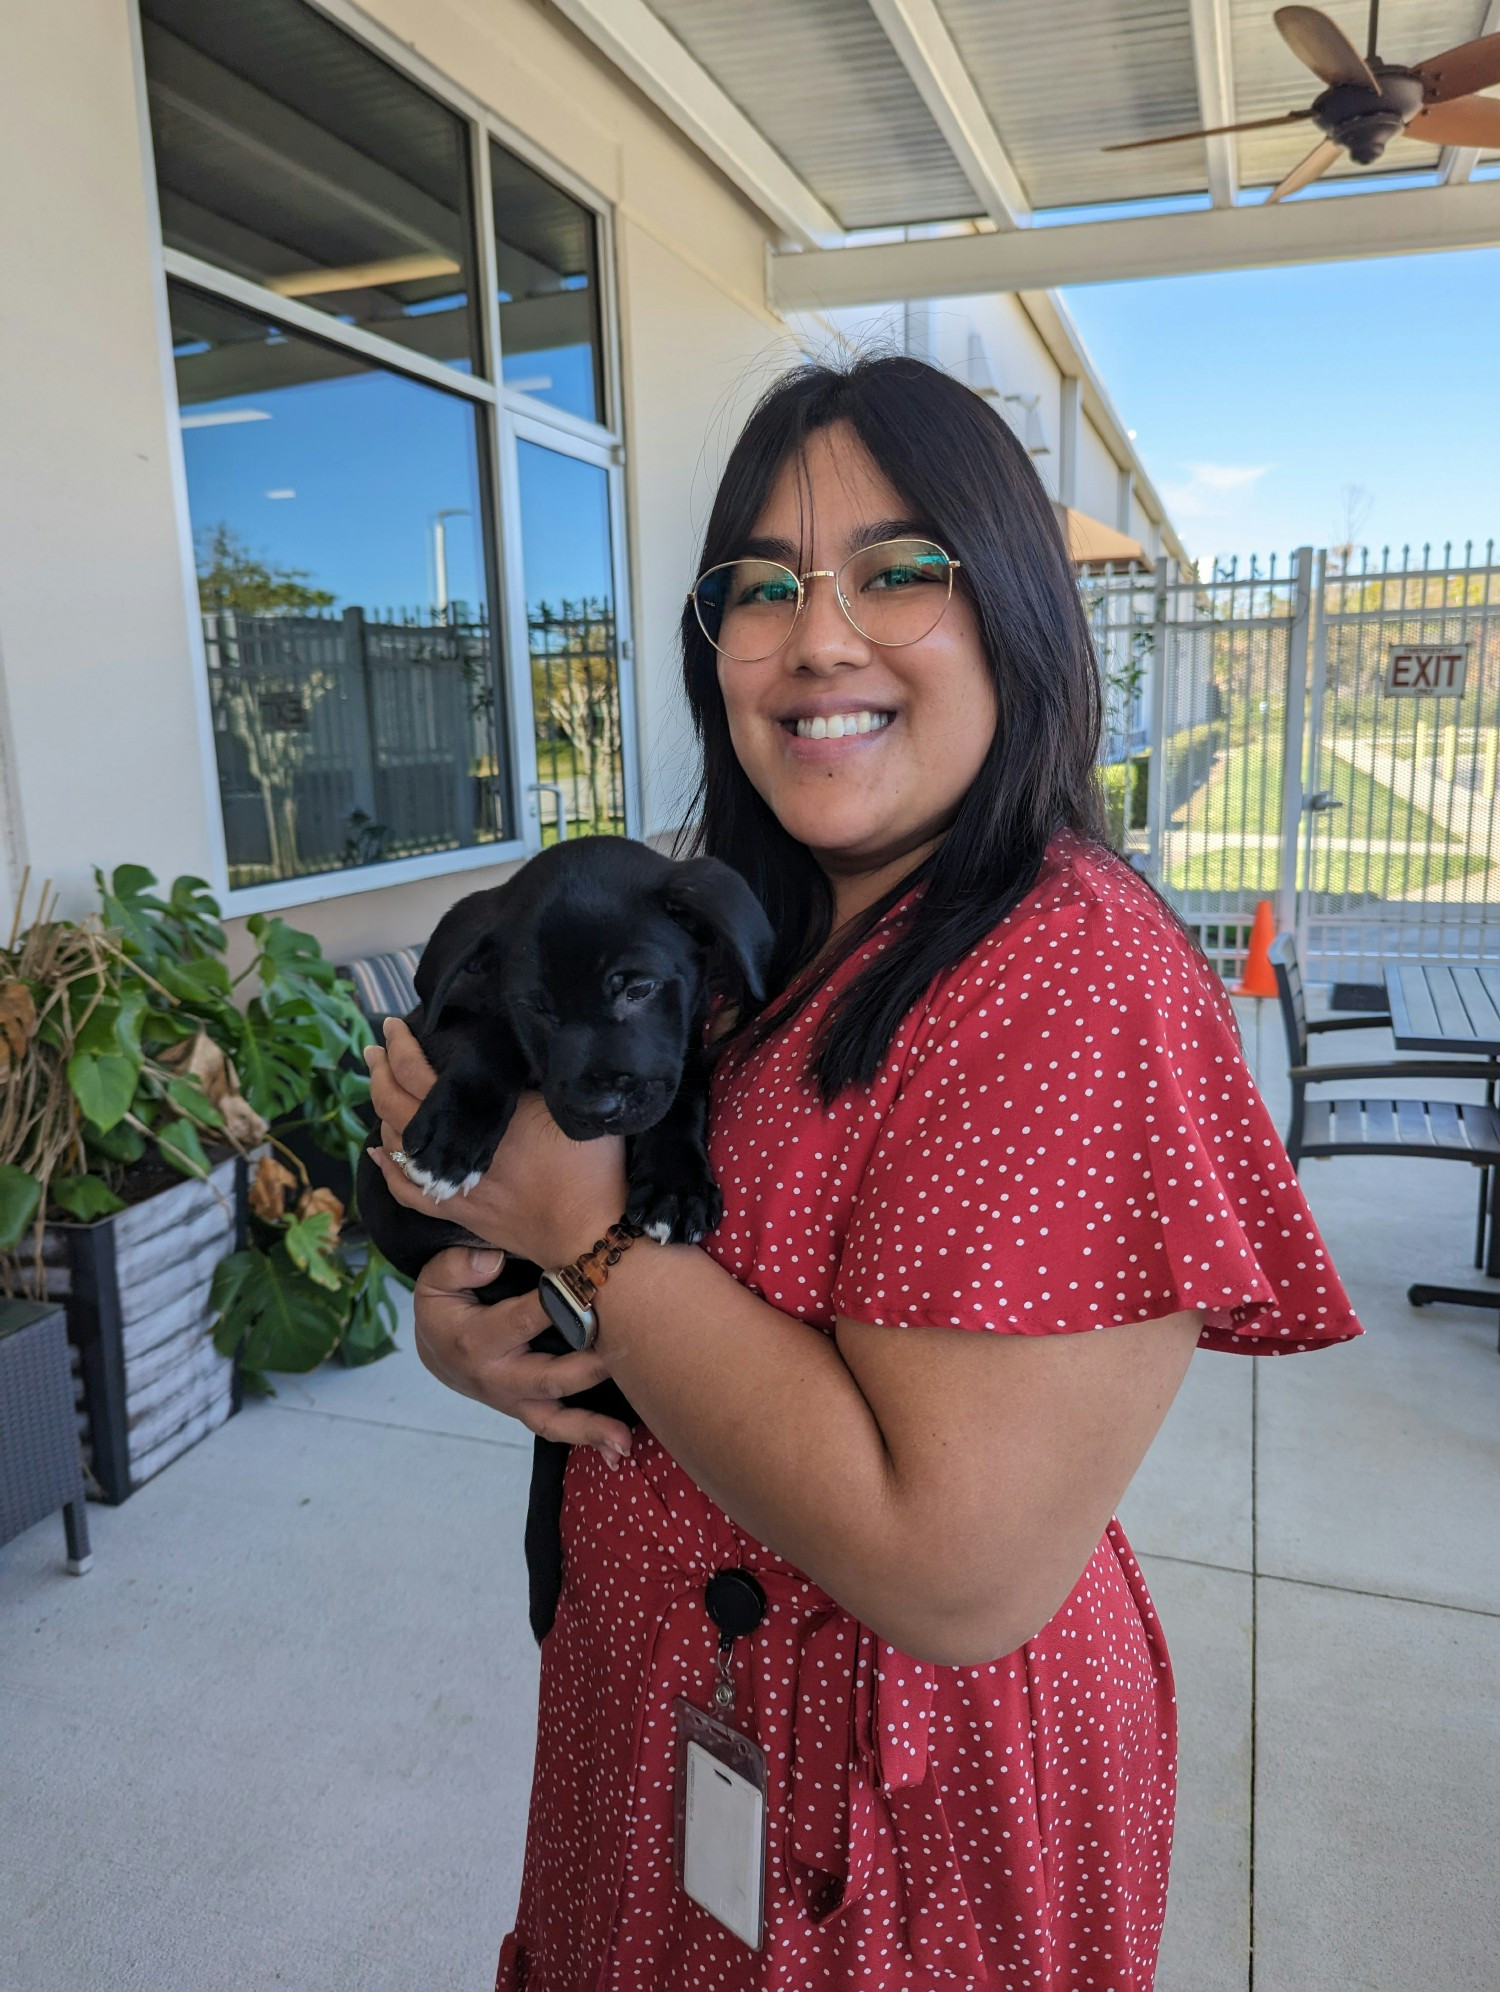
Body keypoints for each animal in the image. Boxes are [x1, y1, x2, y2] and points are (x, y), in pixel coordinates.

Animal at [354, 832, 772, 1641]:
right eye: (538, 1007)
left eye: (637, 988)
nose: (597, 1107)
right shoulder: (439, 1023)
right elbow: (486, 1038)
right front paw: (453, 1136)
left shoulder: (682, 1054)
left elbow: (683, 1091)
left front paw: (676, 1184)